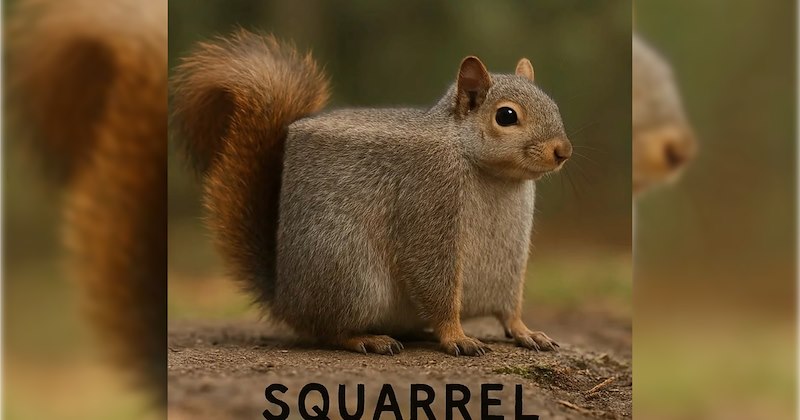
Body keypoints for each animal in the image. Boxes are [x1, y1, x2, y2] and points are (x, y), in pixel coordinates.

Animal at [172, 29, 572, 356]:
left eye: (554, 105)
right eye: (506, 116)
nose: (563, 151)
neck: (492, 174)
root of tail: (285, 298)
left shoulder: (510, 255)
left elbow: (509, 307)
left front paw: (525, 331)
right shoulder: (427, 195)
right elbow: (433, 278)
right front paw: (456, 336)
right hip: (349, 273)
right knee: (327, 330)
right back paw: (366, 338)